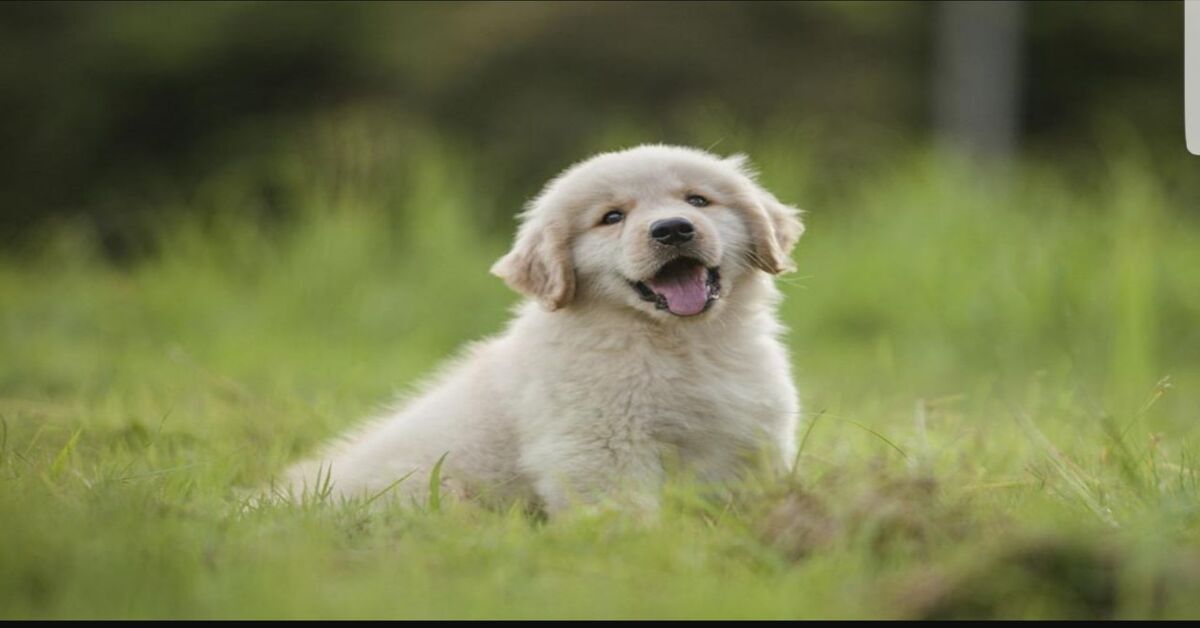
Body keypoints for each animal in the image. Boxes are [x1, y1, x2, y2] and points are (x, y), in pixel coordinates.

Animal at [282, 143, 806, 516]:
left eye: (698, 200)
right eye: (611, 217)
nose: (673, 229)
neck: (682, 342)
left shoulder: (750, 435)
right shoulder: (600, 446)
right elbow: (625, 513)